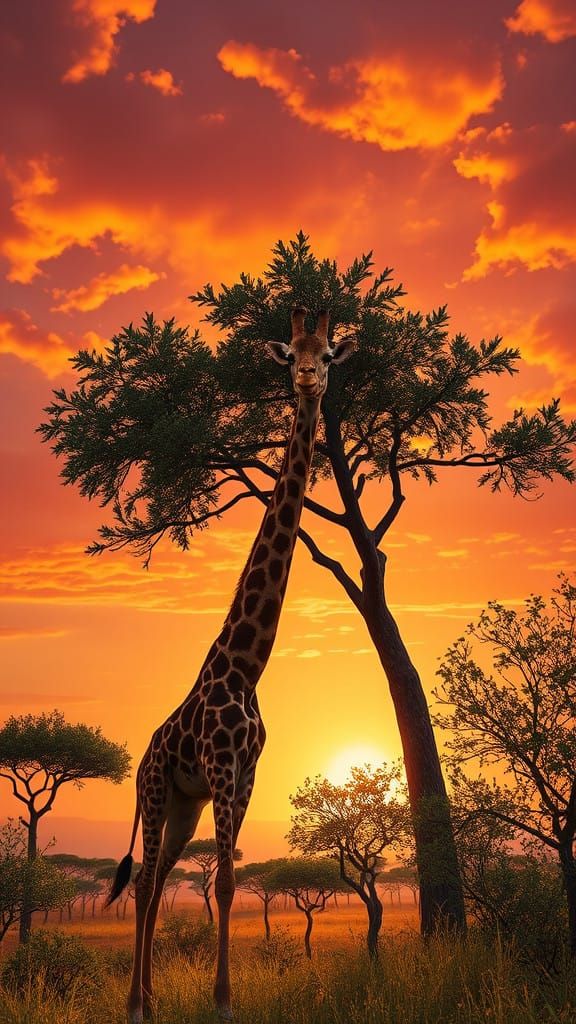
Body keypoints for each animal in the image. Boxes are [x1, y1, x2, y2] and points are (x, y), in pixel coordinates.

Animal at [105, 307, 354, 1023]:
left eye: (329, 352)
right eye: (289, 355)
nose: (307, 379)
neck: (245, 665)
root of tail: (143, 756)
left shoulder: (243, 776)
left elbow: (228, 881)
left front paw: (221, 998)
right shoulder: (220, 767)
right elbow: (220, 886)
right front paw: (221, 1003)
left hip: (183, 804)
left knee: (158, 878)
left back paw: (150, 999)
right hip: (156, 791)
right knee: (144, 885)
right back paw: (136, 1005)